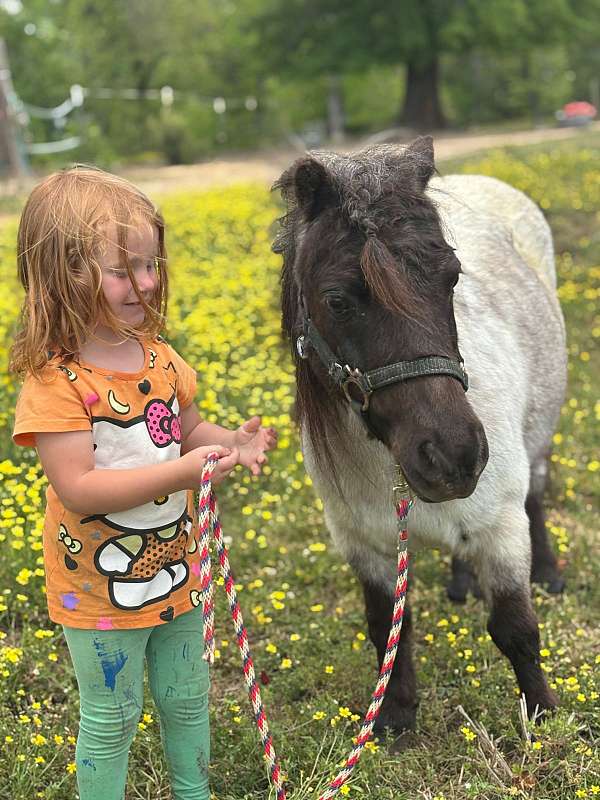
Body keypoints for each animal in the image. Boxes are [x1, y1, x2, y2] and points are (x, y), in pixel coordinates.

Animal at [273, 137, 566, 733]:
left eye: (452, 277)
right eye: (337, 300)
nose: (455, 456)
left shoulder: (503, 527)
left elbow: (517, 629)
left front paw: (543, 719)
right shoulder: (363, 546)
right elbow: (390, 628)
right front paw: (395, 719)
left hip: (537, 448)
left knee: (539, 494)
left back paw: (550, 573)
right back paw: (460, 584)